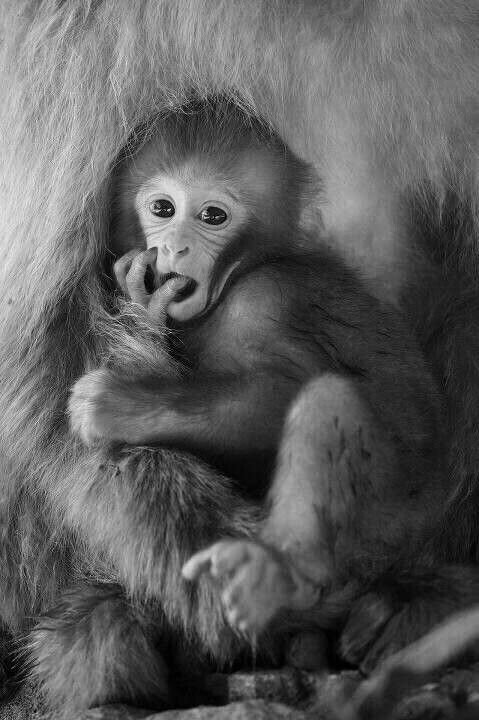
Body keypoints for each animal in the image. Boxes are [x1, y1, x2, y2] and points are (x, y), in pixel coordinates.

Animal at [0, 1, 478, 716]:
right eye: (162, 208)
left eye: (213, 216)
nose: (173, 249)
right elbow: (47, 335)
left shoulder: (262, 299)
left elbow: (284, 393)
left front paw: (122, 405)